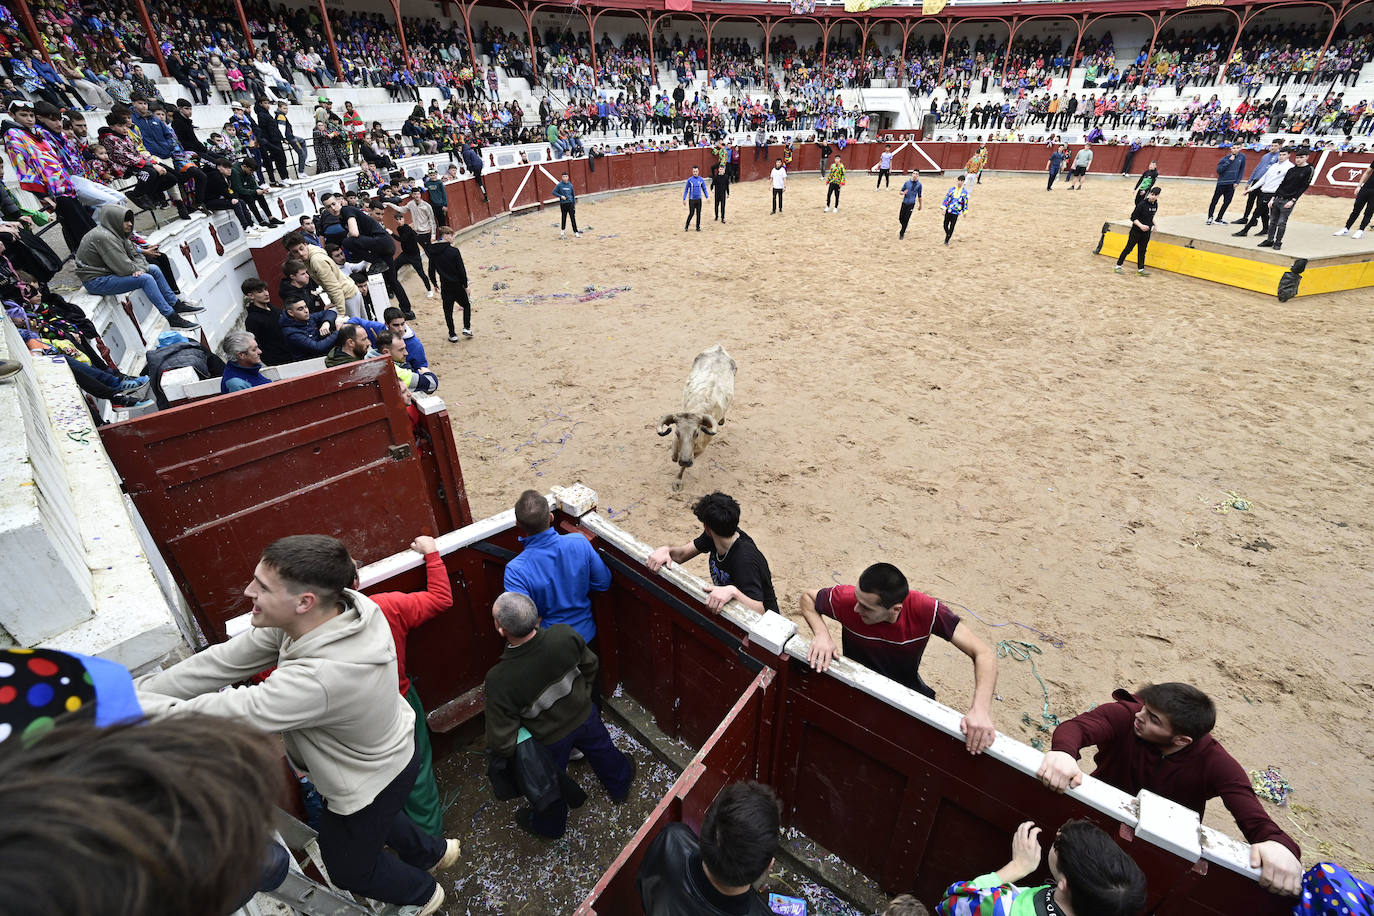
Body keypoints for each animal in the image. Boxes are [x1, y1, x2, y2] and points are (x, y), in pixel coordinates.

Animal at [656, 341, 736, 486]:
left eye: (697, 433)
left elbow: (683, 467)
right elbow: (674, 455)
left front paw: (678, 481)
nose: (685, 460)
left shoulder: (700, 450)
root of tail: (719, 349)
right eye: (677, 432)